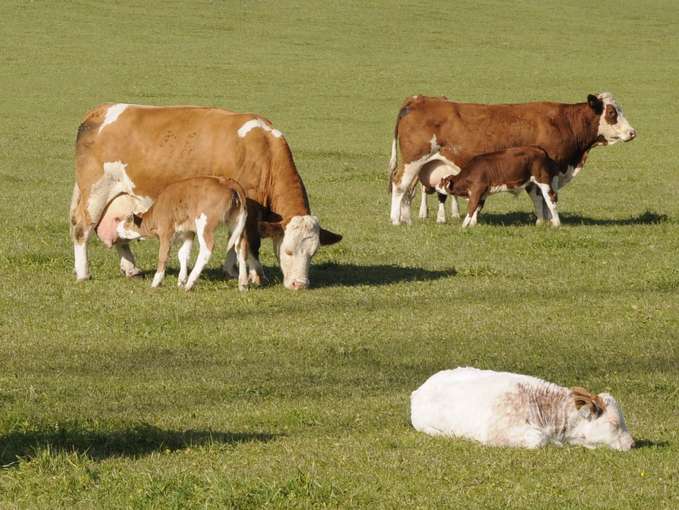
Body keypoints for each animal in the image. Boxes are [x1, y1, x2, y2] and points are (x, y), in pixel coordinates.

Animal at [70, 102, 340, 290]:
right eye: (288, 251)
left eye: (313, 252)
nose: (299, 285)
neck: (263, 152)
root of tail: (99, 111)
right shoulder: (250, 208)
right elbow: (249, 242)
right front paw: (255, 274)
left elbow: (234, 238)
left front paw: (232, 270)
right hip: (95, 192)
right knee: (82, 229)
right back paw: (83, 273)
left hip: (122, 198)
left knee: (120, 233)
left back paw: (131, 268)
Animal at [436, 146, 564, 228]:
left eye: (443, 182)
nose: (436, 185)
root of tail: (540, 149)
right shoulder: (483, 193)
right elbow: (478, 207)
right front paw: (472, 224)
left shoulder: (477, 188)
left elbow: (472, 207)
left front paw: (464, 226)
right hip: (531, 183)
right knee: (538, 200)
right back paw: (540, 223)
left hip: (543, 179)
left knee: (551, 198)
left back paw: (556, 224)